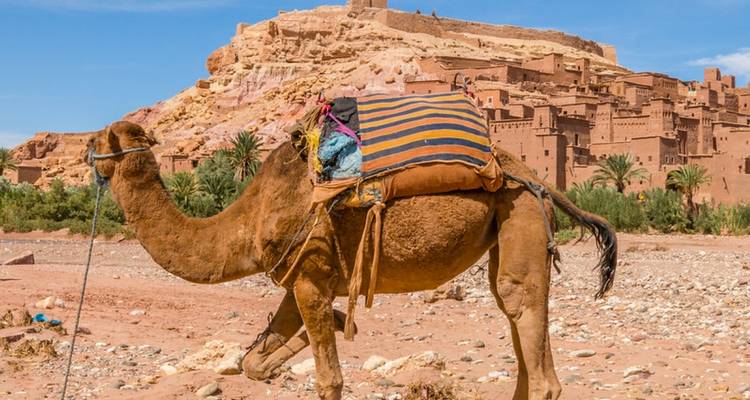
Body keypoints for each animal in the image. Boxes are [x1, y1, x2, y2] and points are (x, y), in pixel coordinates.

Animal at [86, 121, 616, 400]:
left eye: (99, 141)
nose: (84, 152)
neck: (248, 221)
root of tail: (541, 179)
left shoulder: (311, 274)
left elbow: (329, 380)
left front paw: (334, 328)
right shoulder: (298, 279)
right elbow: (253, 362)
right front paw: (335, 324)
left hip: (520, 209)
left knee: (521, 310)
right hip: (509, 225)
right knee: (515, 313)